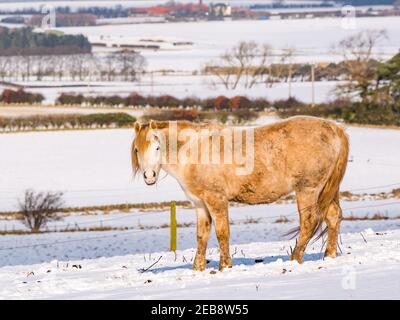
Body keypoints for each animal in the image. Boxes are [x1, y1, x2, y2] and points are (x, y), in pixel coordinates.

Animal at [130, 116, 346, 272]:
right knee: (333, 217)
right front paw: (197, 268)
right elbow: (201, 235)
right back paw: (329, 255)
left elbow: (222, 232)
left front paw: (225, 266)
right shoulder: (200, 204)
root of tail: (335, 129)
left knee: (309, 222)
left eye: (157, 147)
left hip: (307, 190)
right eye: (137, 150)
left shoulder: (216, 199)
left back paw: (294, 258)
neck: (195, 150)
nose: (149, 176)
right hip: (326, 190)